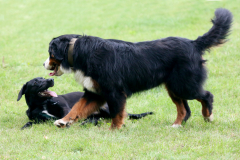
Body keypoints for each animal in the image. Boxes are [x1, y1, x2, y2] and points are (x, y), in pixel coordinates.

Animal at [16, 77, 153, 130]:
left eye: (43, 78)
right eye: (35, 82)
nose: (51, 79)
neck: (42, 103)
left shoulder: (65, 108)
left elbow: (66, 118)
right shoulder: (40, 119)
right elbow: (30, 122)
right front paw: (25, 126)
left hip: (105, 108)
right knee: (96, 120)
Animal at [43, 8, 232, 129]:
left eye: (50, 52)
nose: (43, 64)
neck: (80, 52)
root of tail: (193, 43)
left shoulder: (115, 91)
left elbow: (116, 112)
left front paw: (114, 129)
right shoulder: (94, 92)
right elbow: (78, 108)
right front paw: (63, 121)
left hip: (184, 85)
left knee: (206, 96)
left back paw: (208, 116)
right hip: (174, 87)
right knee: (184, 109)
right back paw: (176, 125)